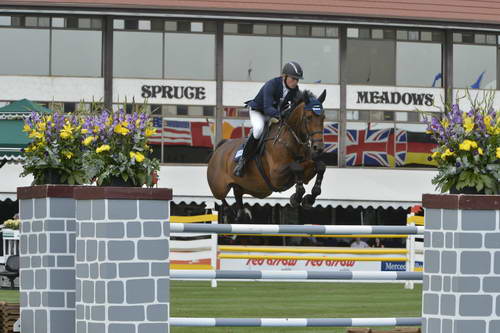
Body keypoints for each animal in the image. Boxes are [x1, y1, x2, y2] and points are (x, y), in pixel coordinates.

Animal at [205, 89, 326, 222]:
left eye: (323, 117)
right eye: (309, 117)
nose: (318, 148)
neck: (291, 139)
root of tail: (219, 148)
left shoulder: (306, 171)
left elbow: (320, 166)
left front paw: (309, 199)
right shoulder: (276, 175)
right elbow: (296, 167)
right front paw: (297, 197)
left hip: (244, 185)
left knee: (237, 193)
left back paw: (242, 214)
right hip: (218, 187)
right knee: (221, 198)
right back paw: (230, 212)